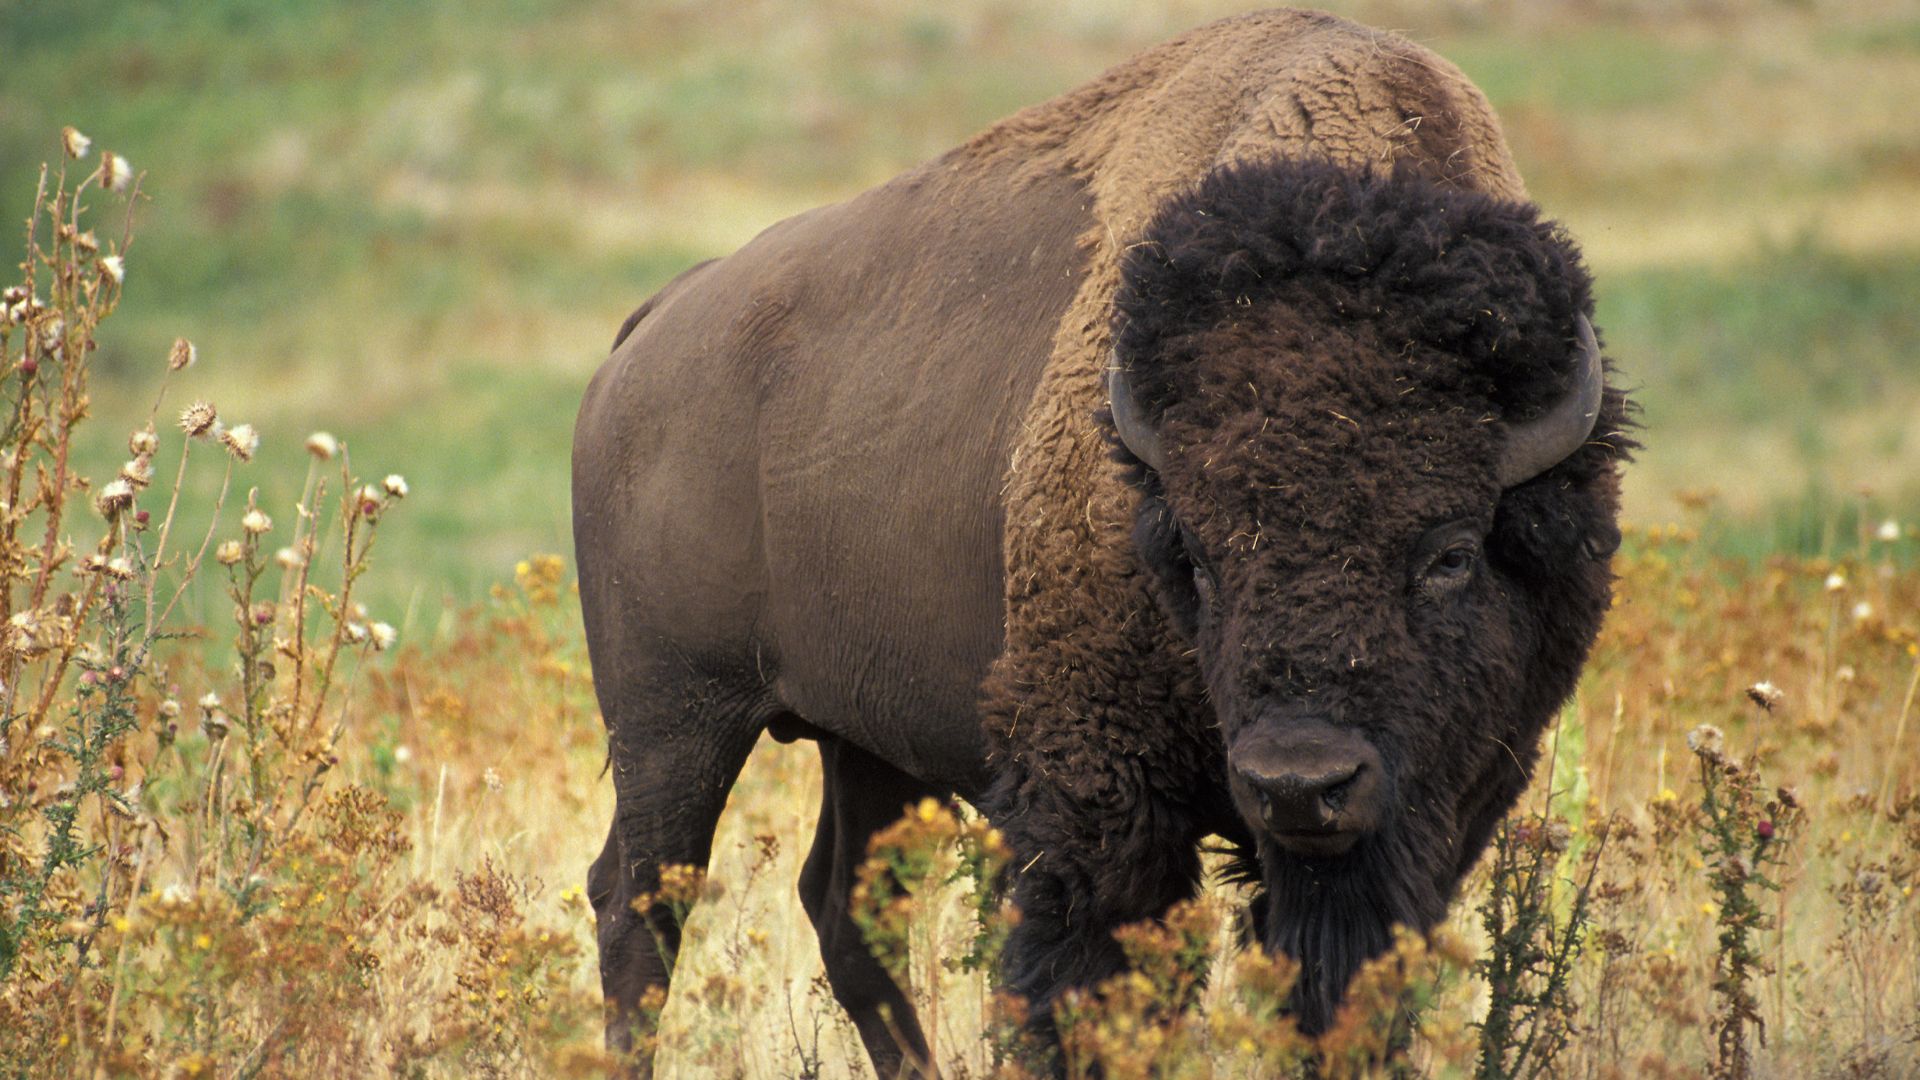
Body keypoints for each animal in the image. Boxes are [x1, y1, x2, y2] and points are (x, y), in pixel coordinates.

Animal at [573, 8, 1631, 1076]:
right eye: (1196, 556)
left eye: (1451, 554)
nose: (1299, 783)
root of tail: (650, 332)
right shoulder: (1097, 799)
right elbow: (1084, 984)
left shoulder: (1441, 811)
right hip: (674, 720)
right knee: (639, 901)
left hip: (860, 737)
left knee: (843, 908)